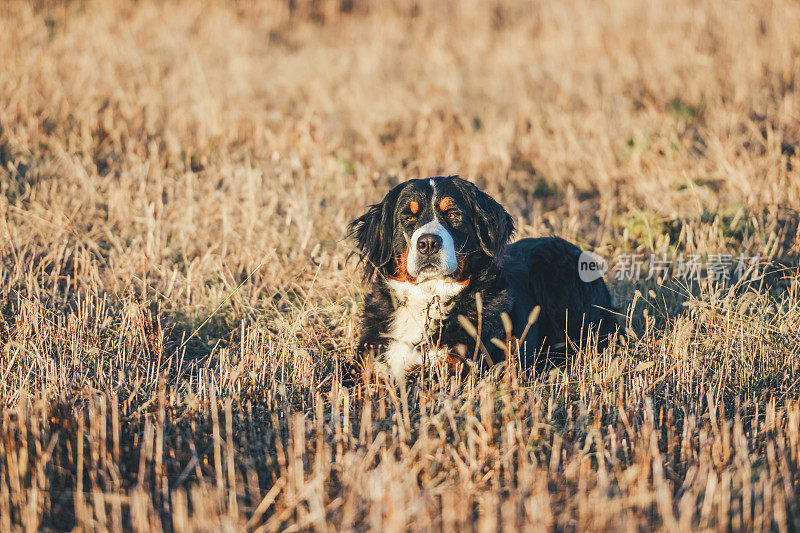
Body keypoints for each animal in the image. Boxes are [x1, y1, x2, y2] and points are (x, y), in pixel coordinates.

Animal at [348, 177, 620, 380]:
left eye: (452, 215)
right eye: (408, 218)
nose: (428, 244)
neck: (430, 296)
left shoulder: (463, 364)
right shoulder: (371, 360)